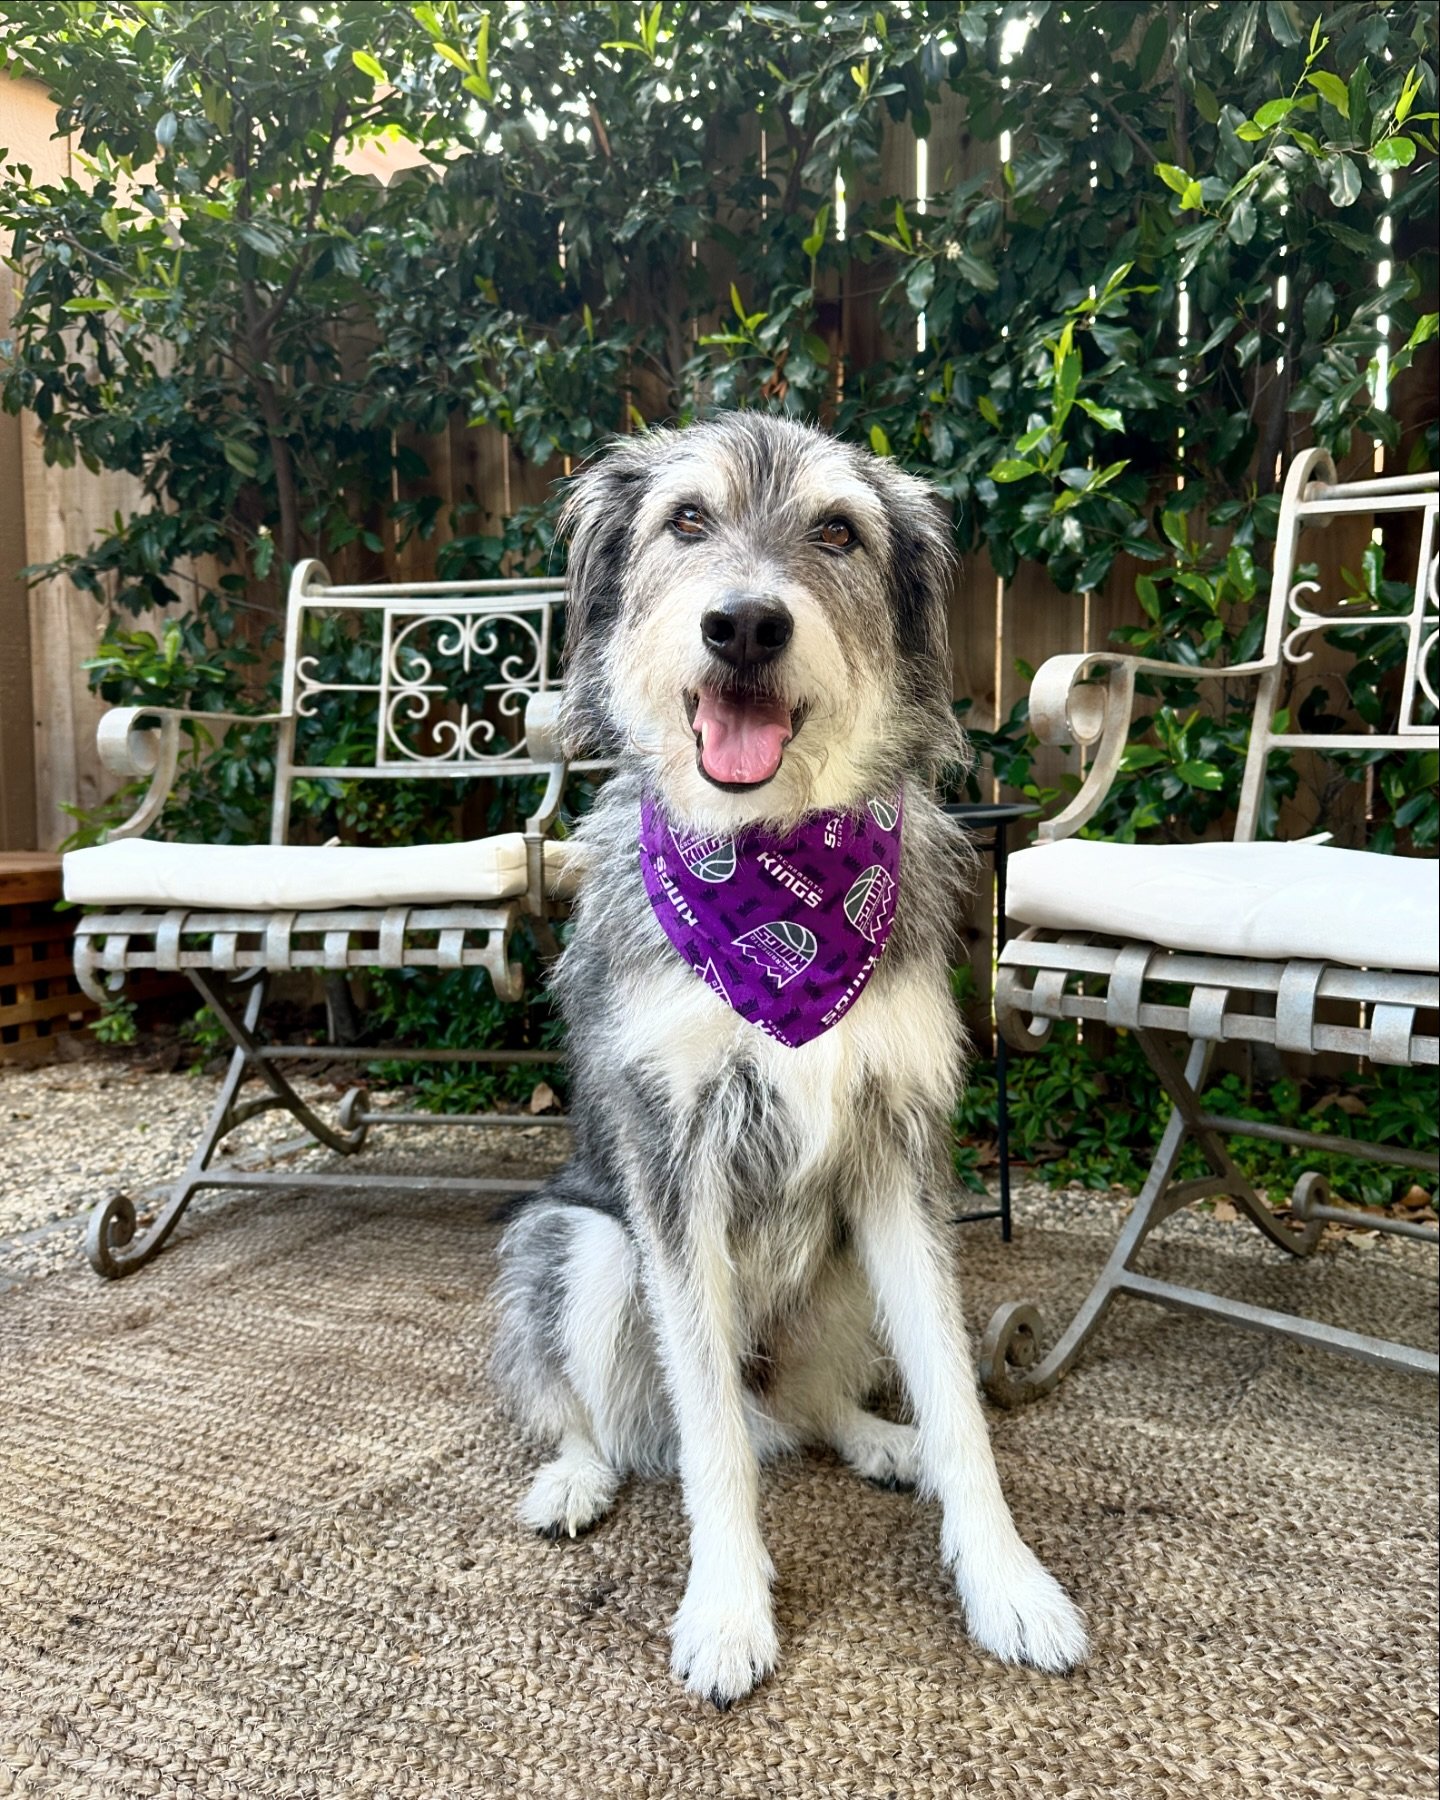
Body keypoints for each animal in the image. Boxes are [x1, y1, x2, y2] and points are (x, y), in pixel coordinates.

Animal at [489, 414, 1087, 1706]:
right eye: (687, 521)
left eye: (837, 533)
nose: (748, 625)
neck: (772, 863)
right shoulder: (672, 1167)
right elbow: (705, 1427)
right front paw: (726, 1609)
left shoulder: (900, 1155)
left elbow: (957, 1394)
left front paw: (1005, 1581)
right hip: (581, 1247)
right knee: (622, 1419)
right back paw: (575, 1477)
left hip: (842, 1266)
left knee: (814, 1408)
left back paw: (879, 1442)